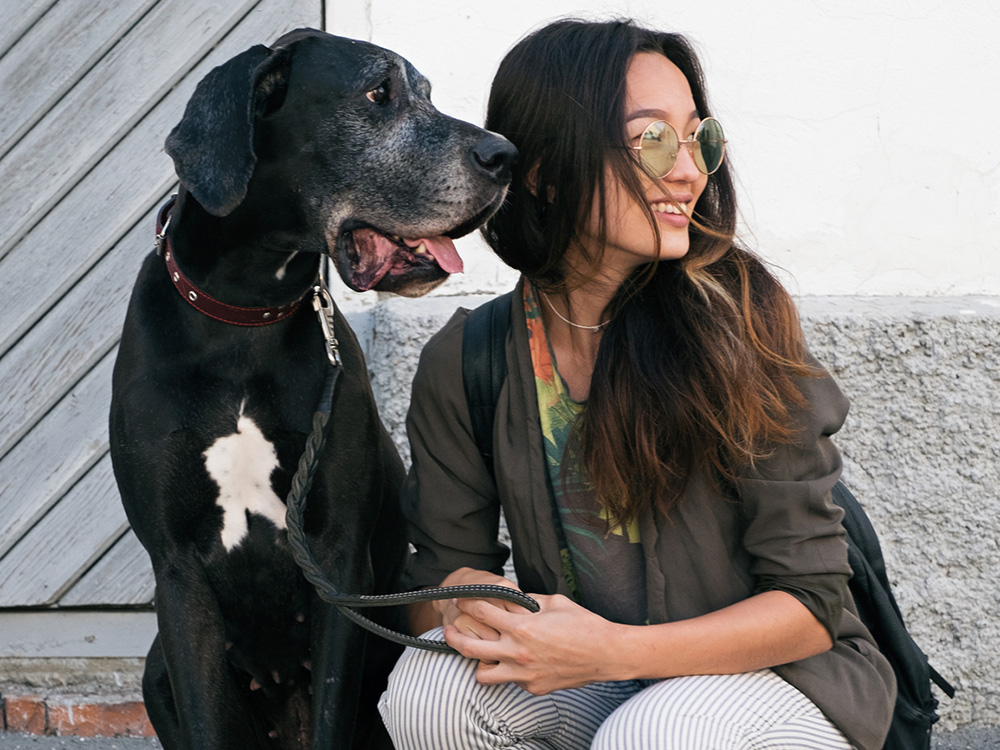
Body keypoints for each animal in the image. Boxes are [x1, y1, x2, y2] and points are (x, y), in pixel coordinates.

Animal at [109, 26, 516, 748]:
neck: (248, 313)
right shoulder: (176, 571)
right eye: (379, 93)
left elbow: (332, 705)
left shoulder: (338, 557)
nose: (506, 155)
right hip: (155, 668)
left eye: (428, 92)